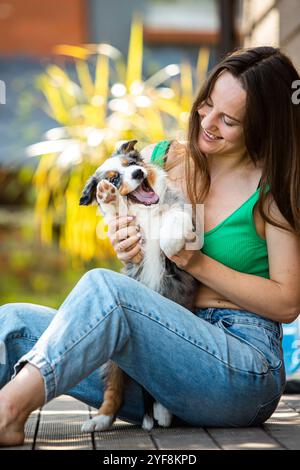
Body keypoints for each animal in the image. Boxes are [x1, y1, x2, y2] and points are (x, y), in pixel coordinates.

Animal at [79, 139, 202, 434]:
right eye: (114, 178)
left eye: (132, 164)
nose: (137, 173)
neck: (147, 212)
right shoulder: (132, 245)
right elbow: (117, 215)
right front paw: (107, 196)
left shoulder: (180, 208)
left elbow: (176, 217)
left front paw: (170, 242)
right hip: (113, 359)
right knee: (114, 389)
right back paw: (101, 419)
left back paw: (163, 413)